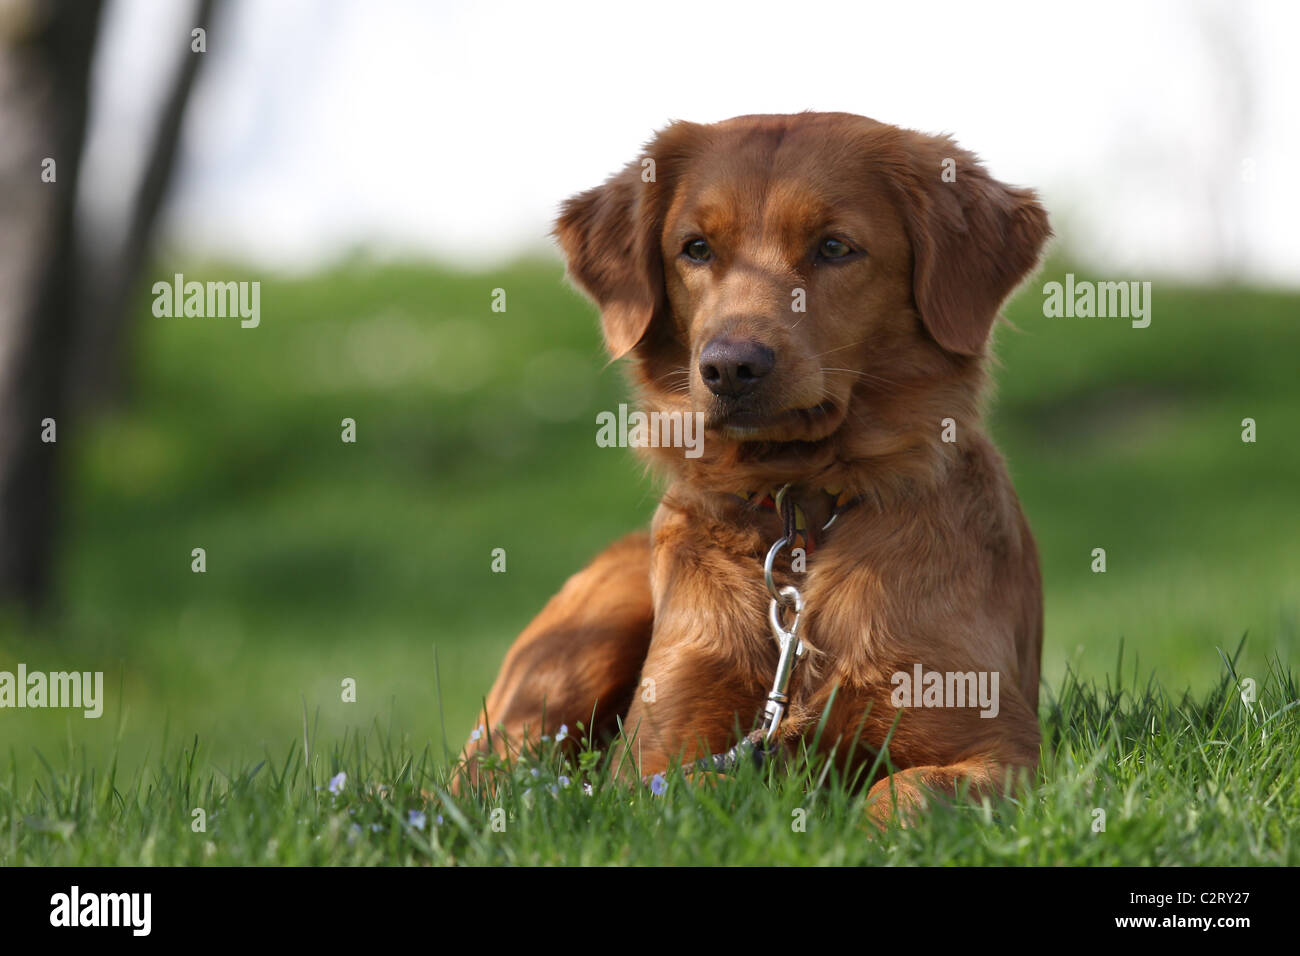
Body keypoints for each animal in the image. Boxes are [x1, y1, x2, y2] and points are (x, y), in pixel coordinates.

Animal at [462, 113, 1050, 832]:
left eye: (834, 247)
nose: (730, 367)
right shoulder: (651, 765)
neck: (801, 514)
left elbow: (907, 791)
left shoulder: (1000, 746)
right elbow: (689, 788)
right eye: (695, 248)